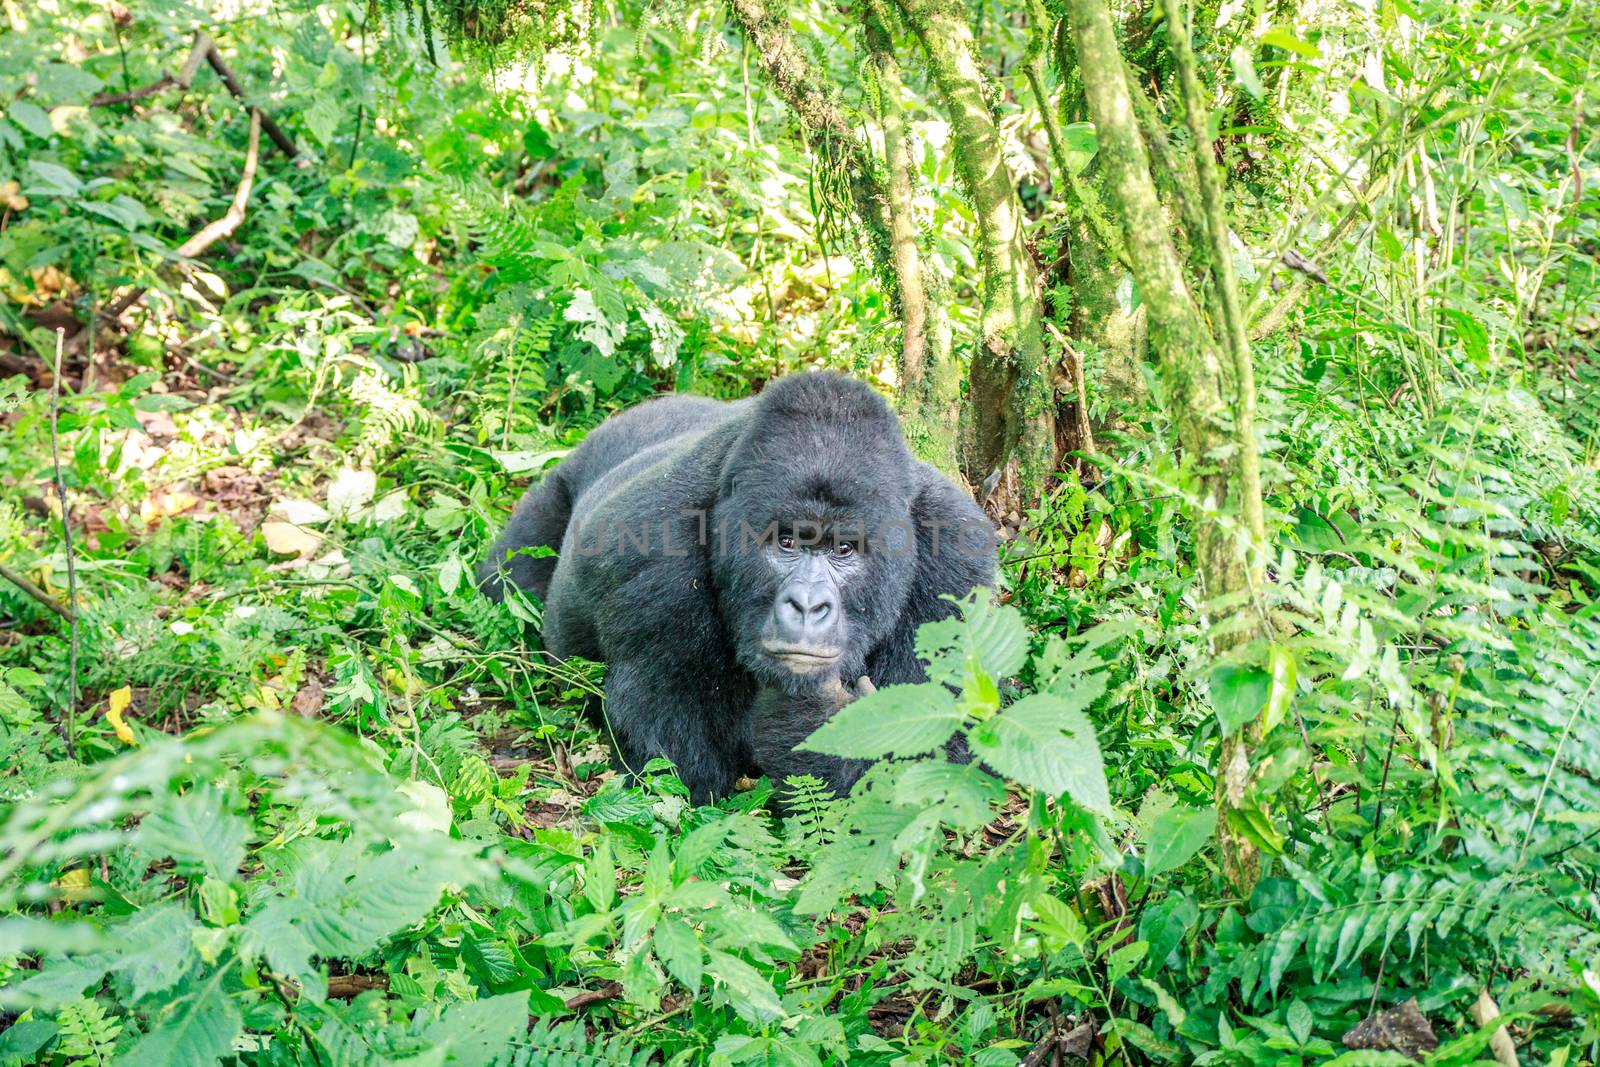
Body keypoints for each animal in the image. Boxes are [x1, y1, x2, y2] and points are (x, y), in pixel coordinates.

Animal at [473, 374, 992, 799]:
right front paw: (810, 717)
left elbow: (945, 762)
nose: (808, 606)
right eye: (787, 542)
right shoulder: (653, 545)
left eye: (844, 549)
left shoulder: (958, 559)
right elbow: (673, 764)